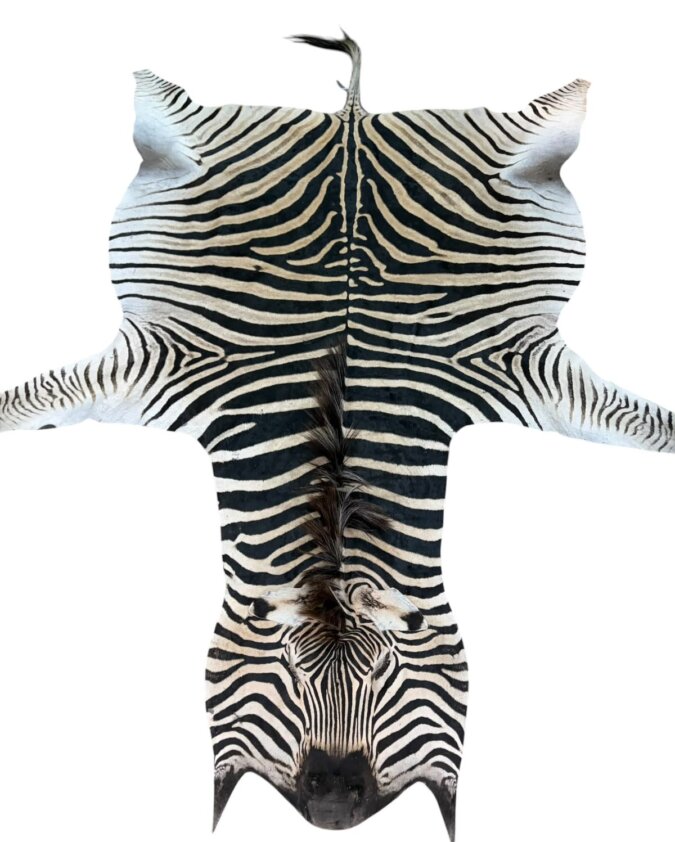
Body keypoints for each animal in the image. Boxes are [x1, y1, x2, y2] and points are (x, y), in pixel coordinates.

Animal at [0, 28, 673, 839]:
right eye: (289, 672)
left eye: (386, 672)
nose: (331, 801)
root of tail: (351, 120)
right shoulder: (165, 364)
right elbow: (28, 401)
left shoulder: (513, 368)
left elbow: (643, 424)